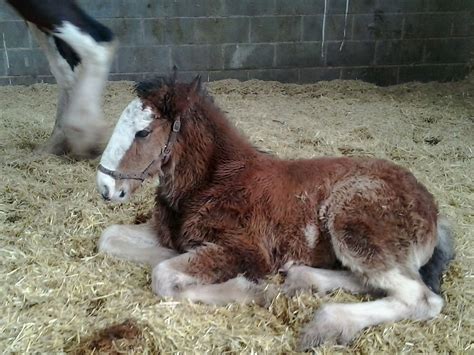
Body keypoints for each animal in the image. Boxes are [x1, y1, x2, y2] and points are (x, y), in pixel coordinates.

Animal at [95, 76, 452, 350]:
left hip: (352, 225)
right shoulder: (167, 234)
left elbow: (164, 277)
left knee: (420, 298)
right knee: (374, 281)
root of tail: (432, 210)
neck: (214, 181)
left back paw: (326, 323)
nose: (105, 188)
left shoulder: (245, 250)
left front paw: (250, 290)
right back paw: (301, 281)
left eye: (143, 132)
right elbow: (109, 238)